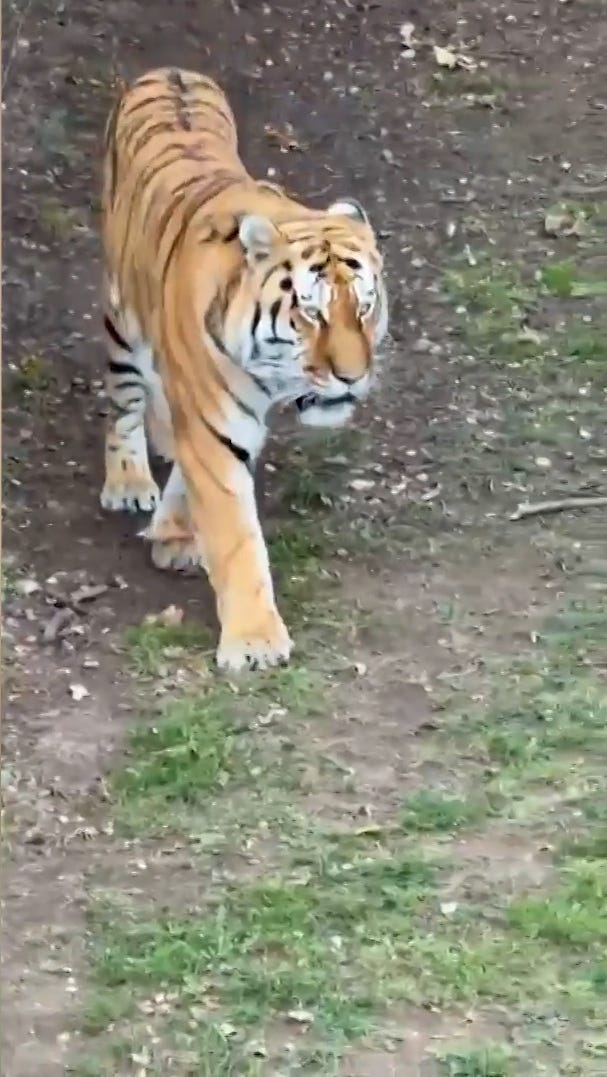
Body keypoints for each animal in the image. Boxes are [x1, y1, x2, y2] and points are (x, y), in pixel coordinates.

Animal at [99, 66, 388, 672]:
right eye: (311, 312)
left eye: (365, 307)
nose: (352, 378)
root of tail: (170, 69)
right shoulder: (214, 428)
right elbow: (236, 537)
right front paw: (255, 643)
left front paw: (176, 534)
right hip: (121, 323)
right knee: (123, 407)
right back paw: (129, 480)